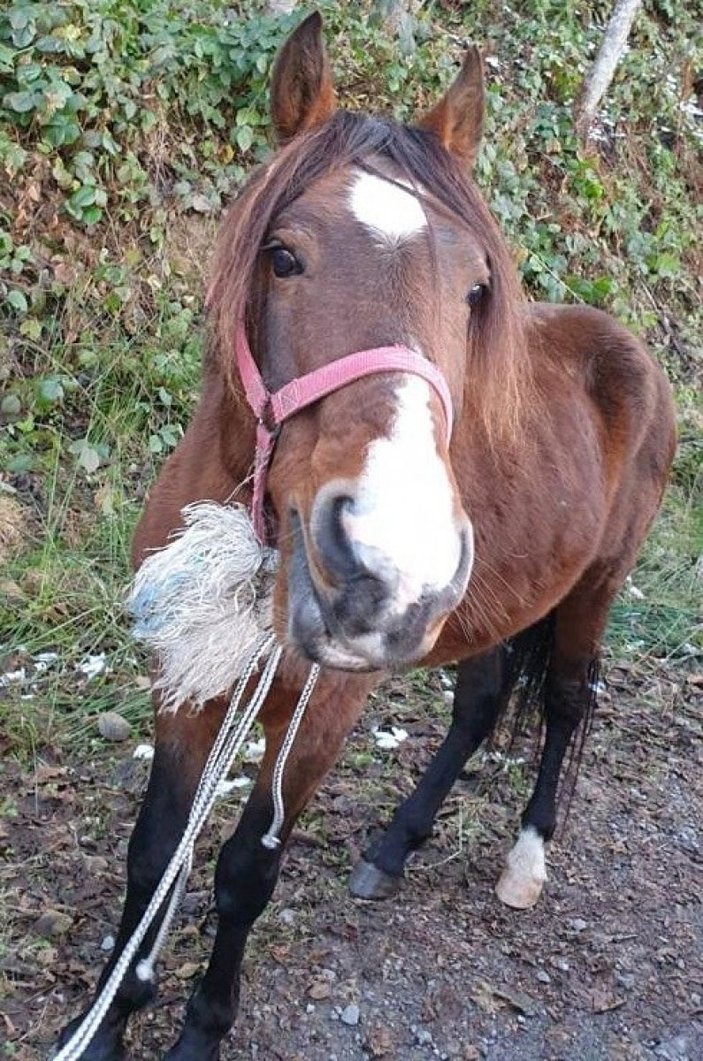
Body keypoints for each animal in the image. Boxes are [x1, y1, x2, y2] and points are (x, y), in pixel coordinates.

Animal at [59, 10, 678, 1061]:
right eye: (283, 255)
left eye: (474, 289)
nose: (388, 564)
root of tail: (630, 347)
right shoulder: (188, 671)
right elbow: (154, 852)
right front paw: (107, 1017)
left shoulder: (324, 710)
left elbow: (243, 872)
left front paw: (200, 1029)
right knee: (480, 702)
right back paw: (396, 842)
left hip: (593, 587)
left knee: (563, 702)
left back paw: (525, 859)